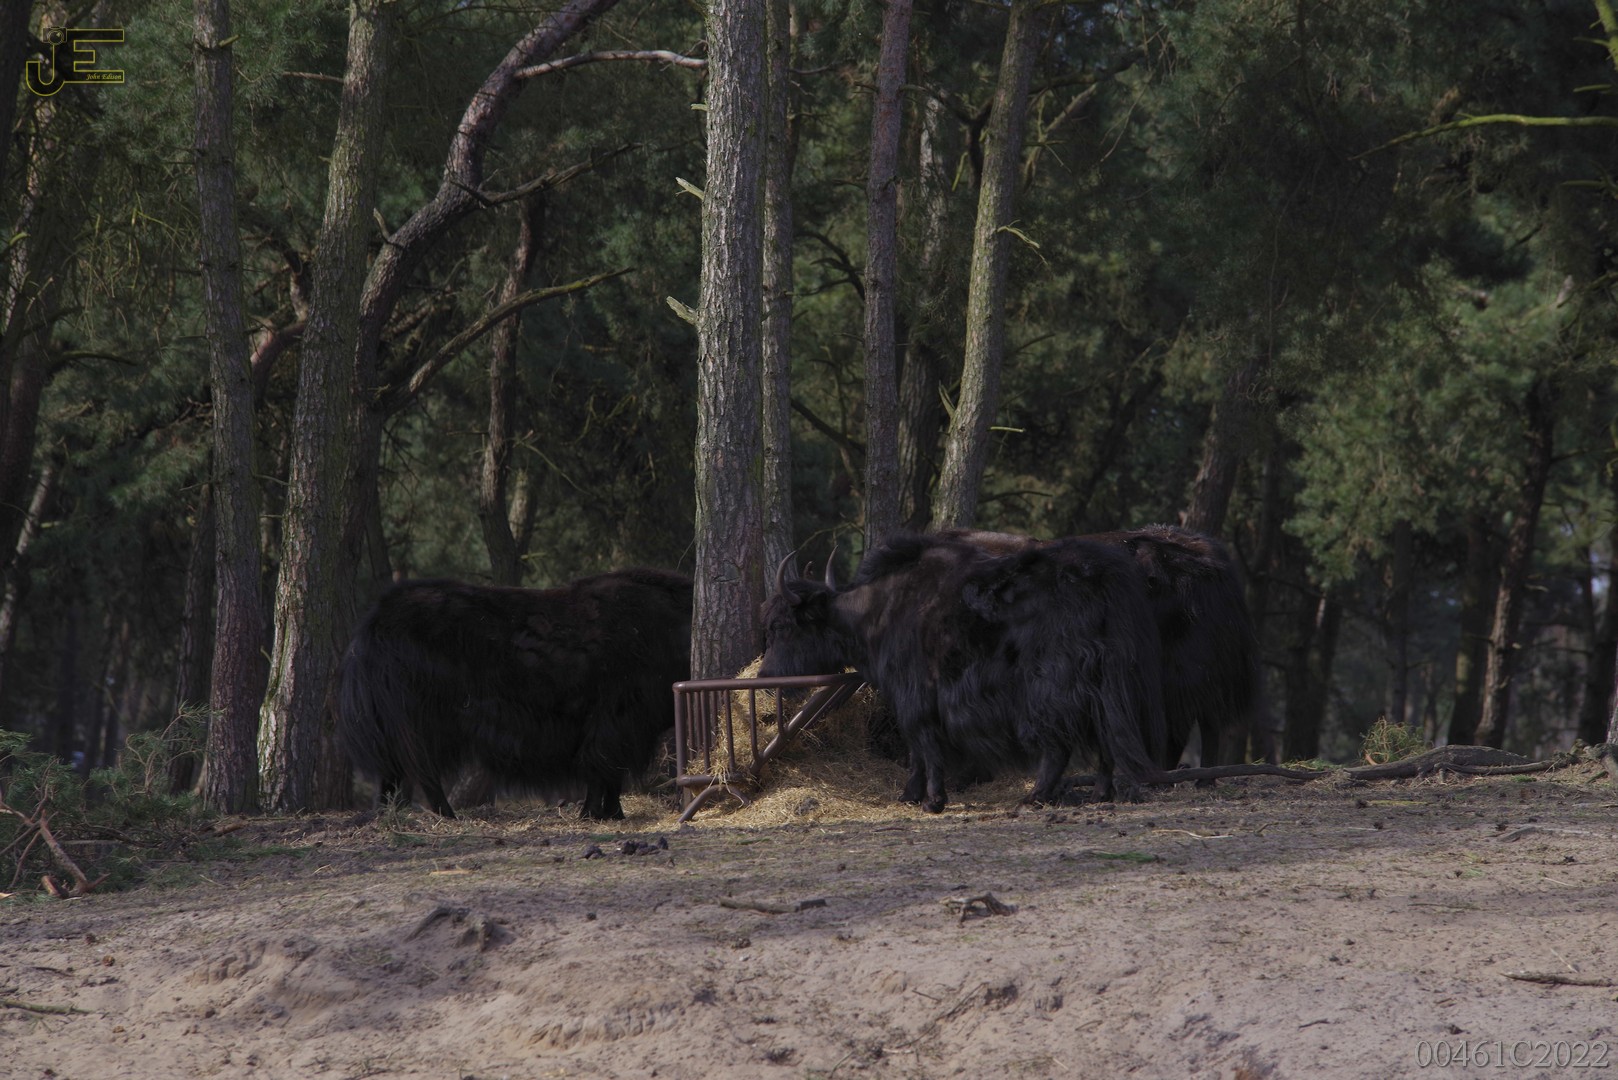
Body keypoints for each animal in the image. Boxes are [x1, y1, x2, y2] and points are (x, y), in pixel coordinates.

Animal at [336, 569, 692, 820]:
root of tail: (374, 621)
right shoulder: (618, 720)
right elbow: (603, 769)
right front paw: (596, 813)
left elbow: (609, 773)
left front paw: (612, 814)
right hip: (420, 721)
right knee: (421, 771)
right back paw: (445, 814)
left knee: (394, 772)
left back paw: (389, 813)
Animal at [759, 532, 1164, 812]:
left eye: (783, 626)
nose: (764, 678)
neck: (878, 614)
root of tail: (1102, 575)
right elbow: (917, 749)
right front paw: (911, 795)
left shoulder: (914, 694)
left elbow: (923, 742)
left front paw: (931, 799)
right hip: (1100, 678)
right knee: (1103, 730)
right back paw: (1100, 793)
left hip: (1048, 684)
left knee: (1058, 743)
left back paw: (1033, 797)